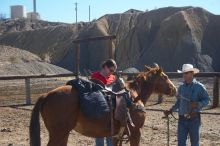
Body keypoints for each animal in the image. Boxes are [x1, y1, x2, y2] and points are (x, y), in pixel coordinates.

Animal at [29, 64, 177, 146]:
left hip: (63, 134)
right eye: (165, 77)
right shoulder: (136, 133)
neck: (134, 97)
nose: (174, 89)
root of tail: (46, 95)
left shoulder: (117, 135)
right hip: (58, 134)